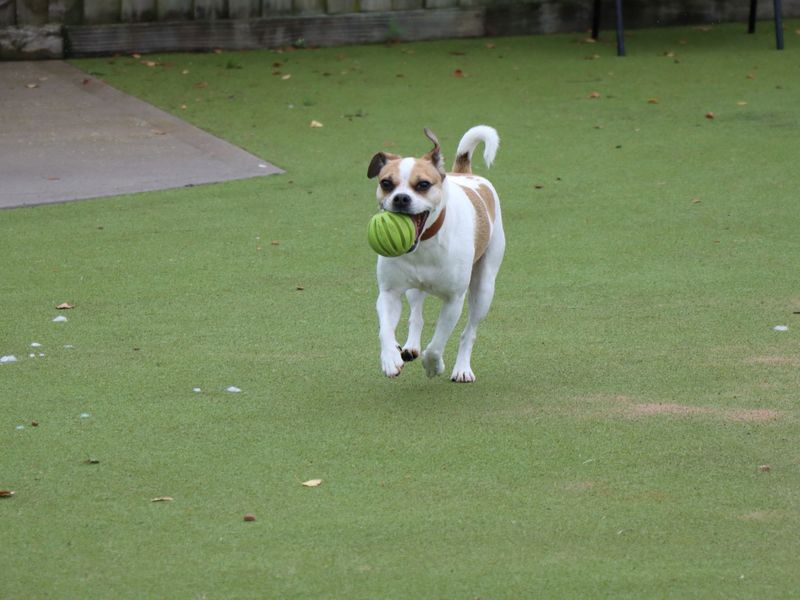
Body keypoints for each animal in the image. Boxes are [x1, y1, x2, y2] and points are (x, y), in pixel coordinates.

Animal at [368, 124, 506, 382]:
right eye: (386, 183)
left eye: (423, 184)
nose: (400, 198)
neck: (425, 244)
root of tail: (464, 173)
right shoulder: (389, 293)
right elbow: (385, 331)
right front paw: (390, 358)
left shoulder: (453, 301)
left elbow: (436, 345)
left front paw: (433, 365)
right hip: (415, 288)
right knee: (416, 313)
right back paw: (410, 347)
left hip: (484, 289)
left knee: (469, 332)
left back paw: (462, 368)